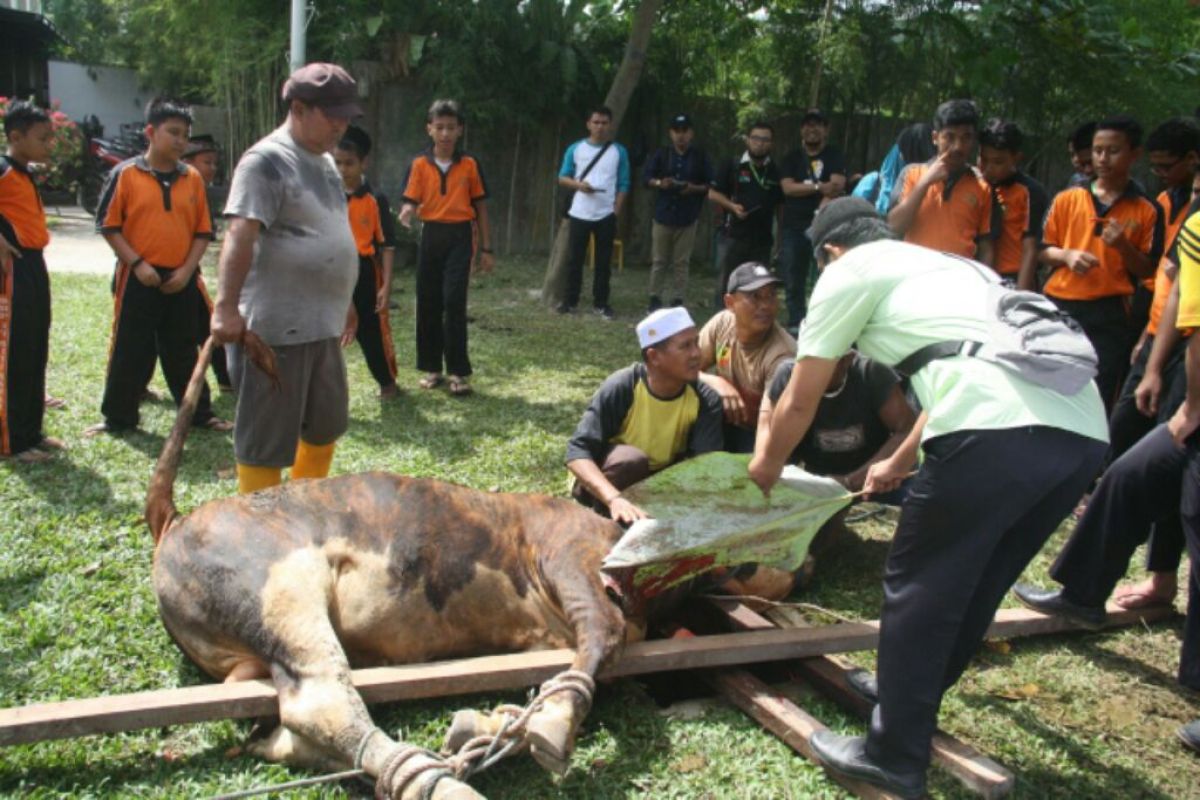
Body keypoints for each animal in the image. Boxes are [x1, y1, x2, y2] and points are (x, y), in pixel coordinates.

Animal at [144, 340, 638, 800]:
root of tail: (175, 522)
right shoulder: (571, 556)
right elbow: (603, 631)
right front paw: (551, 723)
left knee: (285, 730)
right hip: (278, 592)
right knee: (323, 703)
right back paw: (440, 783)